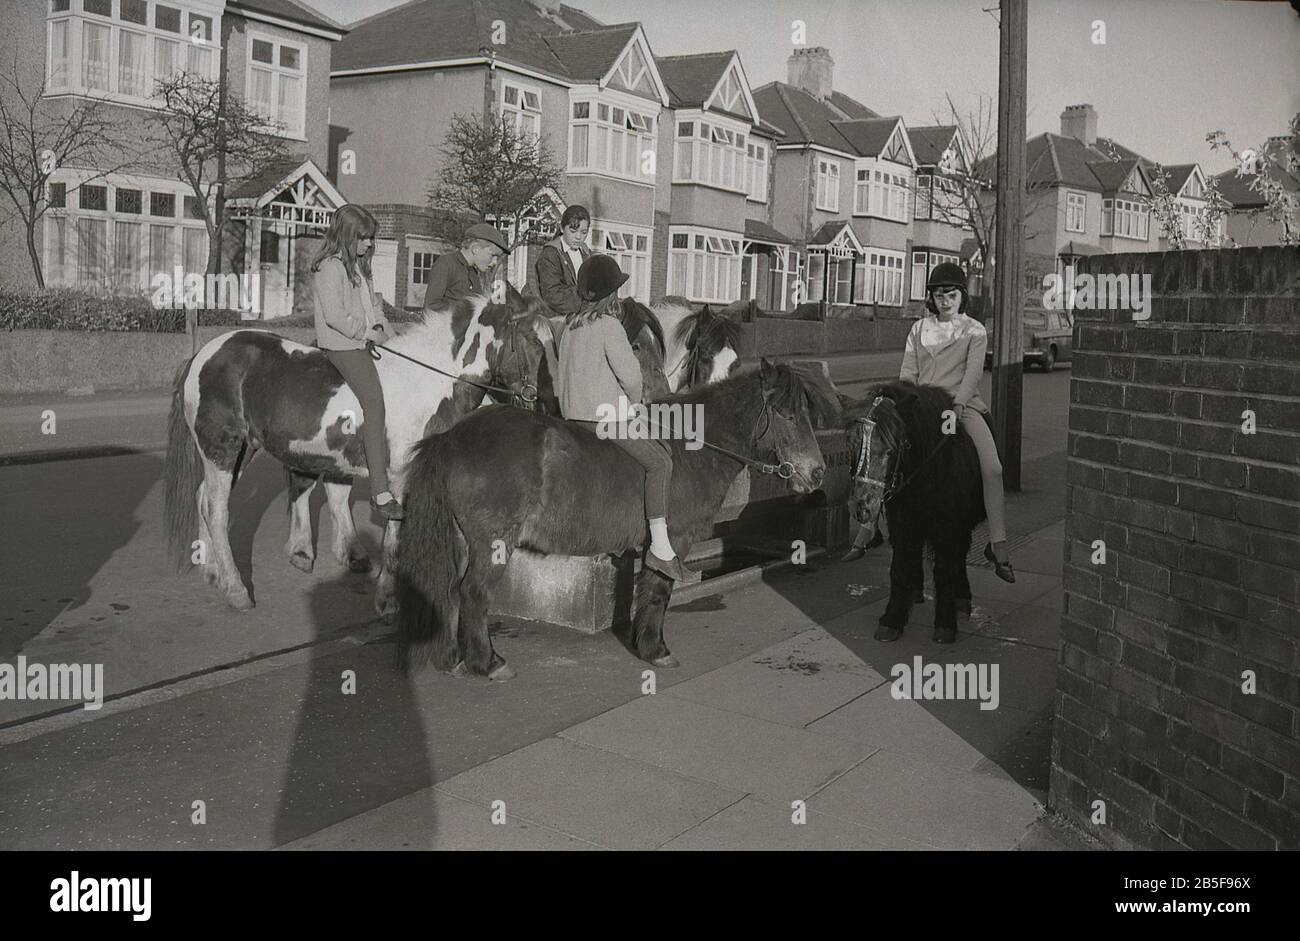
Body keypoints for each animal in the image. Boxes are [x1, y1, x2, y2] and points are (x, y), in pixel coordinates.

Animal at [395, 358, 837, 675]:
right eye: (788, 415)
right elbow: (658, 590)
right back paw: (487, 663)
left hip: (462, 540)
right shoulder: (674, 539)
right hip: (492, 544)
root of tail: (452, 437)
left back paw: (455, 658)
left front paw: (646, 643)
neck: (692, 446)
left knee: (451, 593)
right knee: (473, 594)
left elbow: (647, 587)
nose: (817, 473)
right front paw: (655, 649)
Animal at [842, 379, 982, 642]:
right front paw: (892, 619)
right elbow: (899, 567)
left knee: (959, 556)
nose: (861, 507)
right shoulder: (901, 522)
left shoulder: (949, 527)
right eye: (852, 446)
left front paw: (945, 623)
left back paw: (961, 597)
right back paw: (914, 592)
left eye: (890, 450)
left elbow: (945, 569)